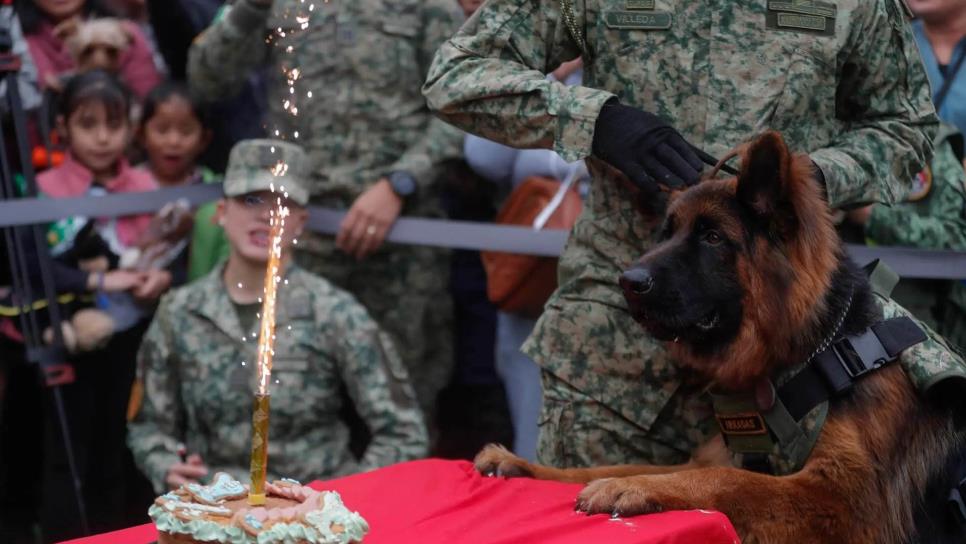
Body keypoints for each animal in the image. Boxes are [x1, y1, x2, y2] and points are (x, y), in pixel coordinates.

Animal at [478, 133, 966, 544]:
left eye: (712, 237)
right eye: (668, 232)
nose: (627, 282)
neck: (814, 348)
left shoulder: (848, 503)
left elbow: (729, 481)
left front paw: (629, 487)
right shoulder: (713, 457)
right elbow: (607, 464)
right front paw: (527, 466)